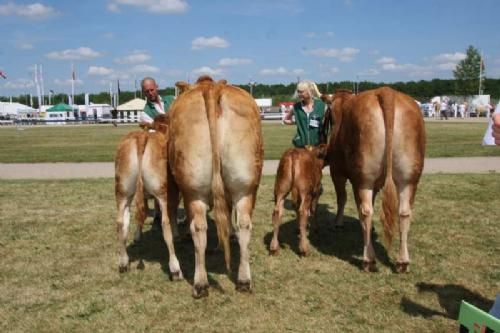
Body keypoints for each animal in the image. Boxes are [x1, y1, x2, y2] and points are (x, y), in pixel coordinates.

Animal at [114, 114, 183, 278]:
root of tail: (142, 137)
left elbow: (143, 213)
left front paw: (137, 236)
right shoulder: (173, 191)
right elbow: (172, 212)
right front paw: (177, 234)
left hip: (123, 192)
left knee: (121, 222)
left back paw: (123, 262)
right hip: (162, 191)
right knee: (165, 223)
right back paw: (175, 268)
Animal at [166, 76, 264, 296]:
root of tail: (212, 88)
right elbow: (226, 216)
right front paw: (226, 239)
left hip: (193, 190)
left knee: (198, 227)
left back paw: (200, 283)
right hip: (246, 186)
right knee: (244, 224)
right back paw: (244, 280)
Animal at [320, 87, 426, 272]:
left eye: (329, 114)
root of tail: (386, 92)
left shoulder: (337, 173)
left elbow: (342, 199)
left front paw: (338, 223)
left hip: (364, 179)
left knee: (365, 211)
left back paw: (368, 259)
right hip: (409, 178)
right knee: (404, 212)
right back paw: (402, 261)